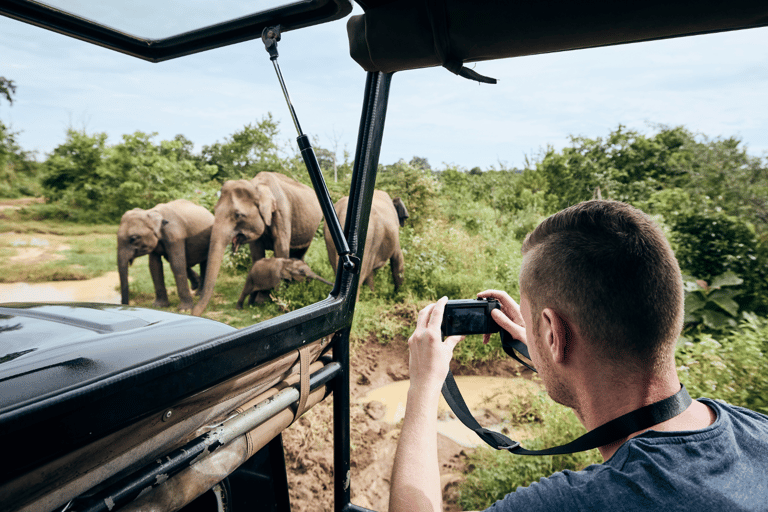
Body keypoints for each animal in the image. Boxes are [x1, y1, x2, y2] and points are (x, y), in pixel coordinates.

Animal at [195, 172, 324, 316]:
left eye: (238, 215)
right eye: (215, 209)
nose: (192, 313)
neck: (257, 186)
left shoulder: (282, 213)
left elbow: (281, 248)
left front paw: (272, 299)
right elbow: (257, 252)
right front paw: (260, 300)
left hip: (311, 229)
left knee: (301, 252)